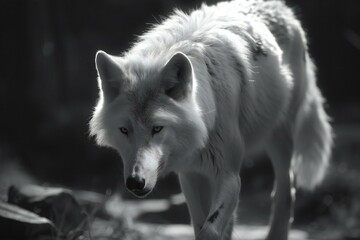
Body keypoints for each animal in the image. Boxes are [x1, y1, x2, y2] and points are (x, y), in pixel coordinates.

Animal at [89, 0, 332, 239]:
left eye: (157, 128)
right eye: (124, 130)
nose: (135, 182)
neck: (204, 123)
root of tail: (282, 7)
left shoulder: (229, 176)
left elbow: (210, 229)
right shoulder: (190, 175)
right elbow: (201, 226)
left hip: (280, 138)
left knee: (285, 195)